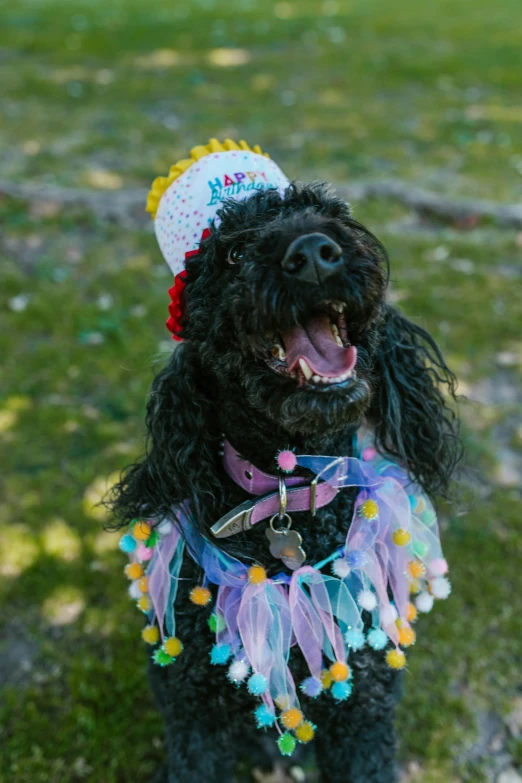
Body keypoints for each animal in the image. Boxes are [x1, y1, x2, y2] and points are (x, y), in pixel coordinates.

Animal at [108, 184, 456, 783]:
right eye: (232, 254)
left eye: (332, 216)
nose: (314, 253)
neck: (288, 491)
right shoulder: (195, 716)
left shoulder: (364, 712)